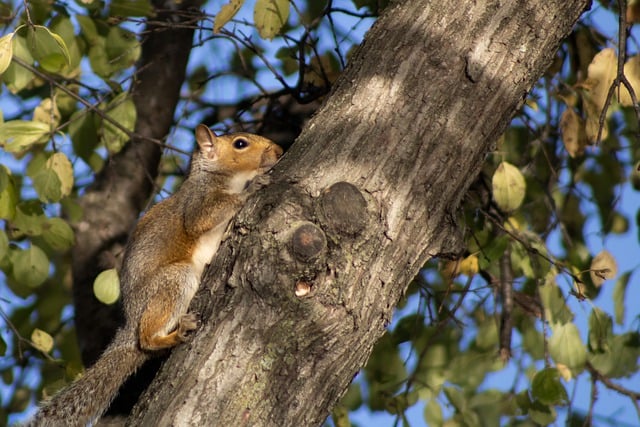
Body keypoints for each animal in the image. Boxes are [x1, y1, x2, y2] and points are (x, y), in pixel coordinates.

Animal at [27, 124, 282, 427]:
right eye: (240, 144)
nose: (278, 151)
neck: (218, 177)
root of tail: (130, 324)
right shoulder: (196, 201)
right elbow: (203, 217)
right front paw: (252, 187)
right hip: (174, 279)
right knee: (147, 338)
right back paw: (174, 334)